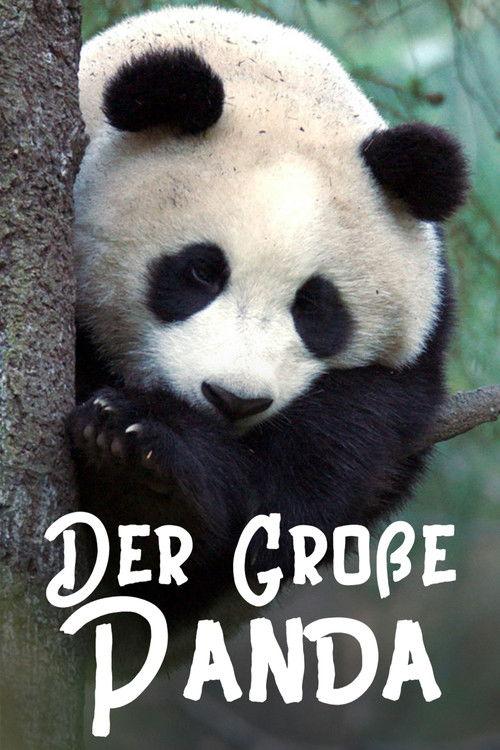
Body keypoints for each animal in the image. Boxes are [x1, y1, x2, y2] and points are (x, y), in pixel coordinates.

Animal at [70, 5, 468, 640]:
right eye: (201, 272)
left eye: (314, 307)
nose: (233, 400)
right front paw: (126, 449)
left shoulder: (418, 350)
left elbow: (324, 463)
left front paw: (147, 464)